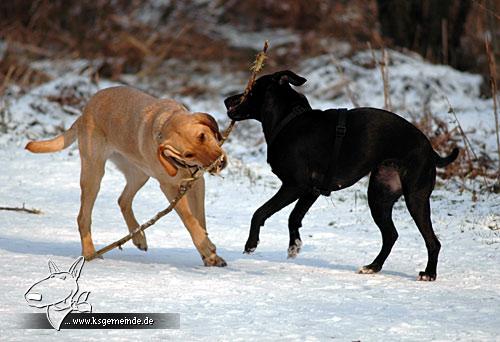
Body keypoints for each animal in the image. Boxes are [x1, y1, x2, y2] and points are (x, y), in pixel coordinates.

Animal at [26, 86, 229, 268]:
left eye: (202, 136)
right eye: (188, 153)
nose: (219, 163)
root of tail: (85, 111)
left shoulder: (197, 183)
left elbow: (200, 219)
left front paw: (210, 257)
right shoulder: (169, 187)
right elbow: (189, 219)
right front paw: (206, 246)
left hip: (139, 173)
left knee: (123, 200)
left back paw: (138, 236)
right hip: (94, 173)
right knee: (83, 217)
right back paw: (90, 253)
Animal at [225, 69, 458, 280]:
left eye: (250, 89)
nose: (227, 100)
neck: (289, 120)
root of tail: (430, 149)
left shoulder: (294, 185)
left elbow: (260, 212)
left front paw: (251, 243)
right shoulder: (311, 190)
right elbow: (294, 217)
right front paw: (294, 245)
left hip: (415, 198)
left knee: (432, 241)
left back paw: (429, 273)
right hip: (379, 196)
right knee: (391, 235)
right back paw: (373, 267)